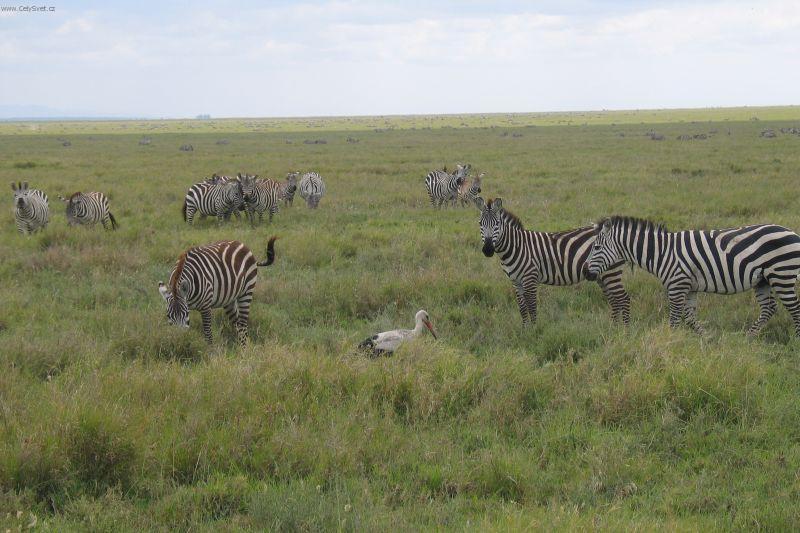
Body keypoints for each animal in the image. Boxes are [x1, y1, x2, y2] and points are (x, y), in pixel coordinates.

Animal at [476, 197, 632, 324]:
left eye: (497, 224)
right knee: (614, 301)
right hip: (600, 275)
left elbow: (531, 306)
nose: (488, 250)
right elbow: (522, 308)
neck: (517, 246)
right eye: (480, 223)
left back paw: (623, 330)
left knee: (623, 299)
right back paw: (613, 327)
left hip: (611, 272)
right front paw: (525, 330)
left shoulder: (530, 278)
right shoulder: (515, 281)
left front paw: (534, 331)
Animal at [584, 215, 800, 334]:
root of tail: (793, 233)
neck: (662, 253)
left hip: (781, 275)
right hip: (763, 280)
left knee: (794, 309)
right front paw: (708, 340)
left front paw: (669, 344)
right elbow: (689, 318)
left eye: (596, 247)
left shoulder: (677, 286)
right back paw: (749, 337)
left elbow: (674, 319)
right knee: (769, 309)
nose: (585, 271)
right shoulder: (689, 288)